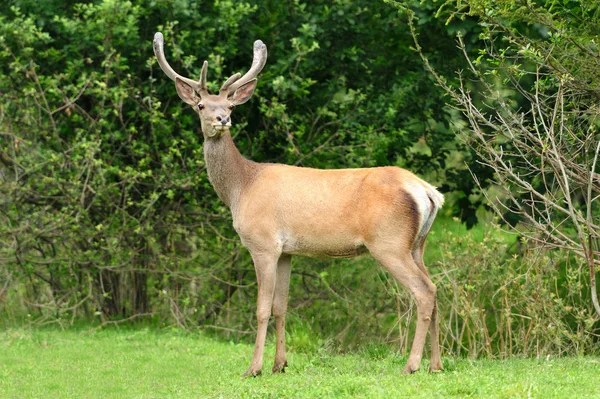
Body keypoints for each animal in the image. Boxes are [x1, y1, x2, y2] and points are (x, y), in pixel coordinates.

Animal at [155, 32, 446, 378]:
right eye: (201, 105)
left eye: (229, 105)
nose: (222, 119)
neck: (241, 187)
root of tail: (428, 191)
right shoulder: (287, 252)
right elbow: (281, 307)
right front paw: (280, 364)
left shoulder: (263, 243)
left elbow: (262, 308)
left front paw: (254, 368)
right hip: (417, 244)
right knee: (435, 287)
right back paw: (436, 364)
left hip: (389, 242)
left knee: (423, 291)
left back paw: (411, 365)